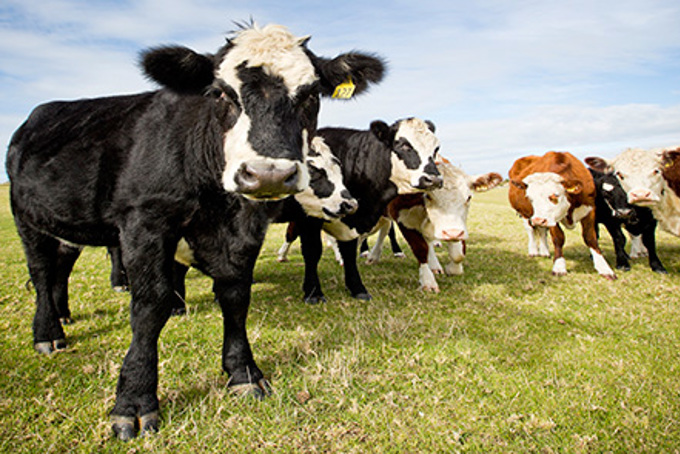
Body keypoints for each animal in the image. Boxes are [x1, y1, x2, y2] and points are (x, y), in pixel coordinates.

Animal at [6, 23, 385, 440]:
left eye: (312, 94)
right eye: (220, 92)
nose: (268, 174)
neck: (215, 203)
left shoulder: (245, 232)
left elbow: (235, 296)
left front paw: (242, 372)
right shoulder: (145, 223)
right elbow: (149, 306)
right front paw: (135, 400)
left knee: (61, 266)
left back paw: (64, 315)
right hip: (26, 217)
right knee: (42, 272)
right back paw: (48, 332)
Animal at [295, 117, 444, 303]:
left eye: (436, 148)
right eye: (404, 145)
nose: (434, 179)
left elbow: (349, 252)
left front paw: (357, 288)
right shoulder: (309, 217)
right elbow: (312, 251)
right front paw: (313, 292)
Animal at [365, 159, 502, 291]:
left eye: (469, 197)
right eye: (429, 196)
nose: (452, 233)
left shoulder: (455, 226)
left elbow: (458, 253)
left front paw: (453, 268)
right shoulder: (403, 218)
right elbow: (420, 248)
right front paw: (428, 281)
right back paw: (373, 256)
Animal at [508, 151, 616, 279]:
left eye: (555, 195)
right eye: (529, 197)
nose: (538, 220)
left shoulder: (589, 210)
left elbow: (590, 238)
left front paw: (604, 268)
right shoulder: (551, 219)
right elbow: (558, 238)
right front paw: (559, 266)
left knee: (542, 231)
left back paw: (544, 252)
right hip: (526, 214)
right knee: (531, 231)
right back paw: (533, 251)